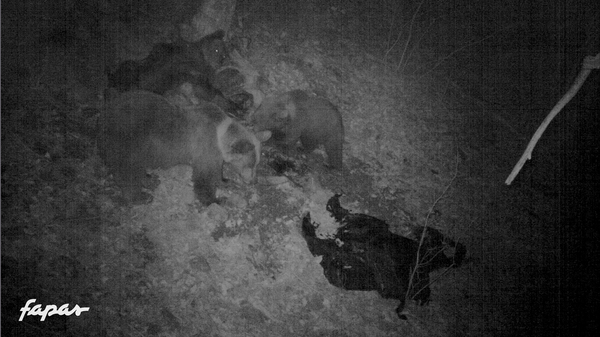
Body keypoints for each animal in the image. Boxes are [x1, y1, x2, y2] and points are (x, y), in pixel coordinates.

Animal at [100, 90, 272, 205]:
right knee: (128, 171)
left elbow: (216, 171)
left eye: (257, 164)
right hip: (128, 140)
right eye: (250, 165)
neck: (220, 136)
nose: (254, 181)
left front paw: (224, 180)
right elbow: (203, 177)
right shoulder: (205, 147)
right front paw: (215, 199)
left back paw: (150, 179)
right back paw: (141, 197)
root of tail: (103, 116)